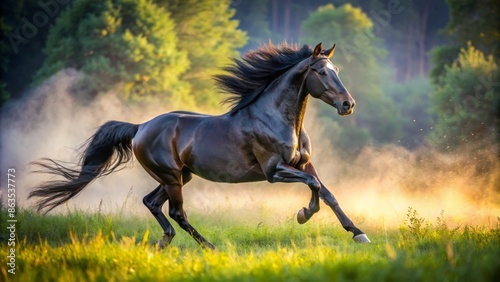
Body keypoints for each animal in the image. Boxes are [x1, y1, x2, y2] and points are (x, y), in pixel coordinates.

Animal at [28, 41, 372, 247]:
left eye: (336, 70)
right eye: (321, 72)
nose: (348, 104)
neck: (277, 118)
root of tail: (140, 127)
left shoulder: (303, 163)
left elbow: (327, 192)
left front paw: (358, 233)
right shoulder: (275, 171)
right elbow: (314, 187)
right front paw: (303, 214)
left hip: (180, 175)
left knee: (152, 203)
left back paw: (163, 243)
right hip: (171, 176)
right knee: (177, 213)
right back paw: (209, 247)